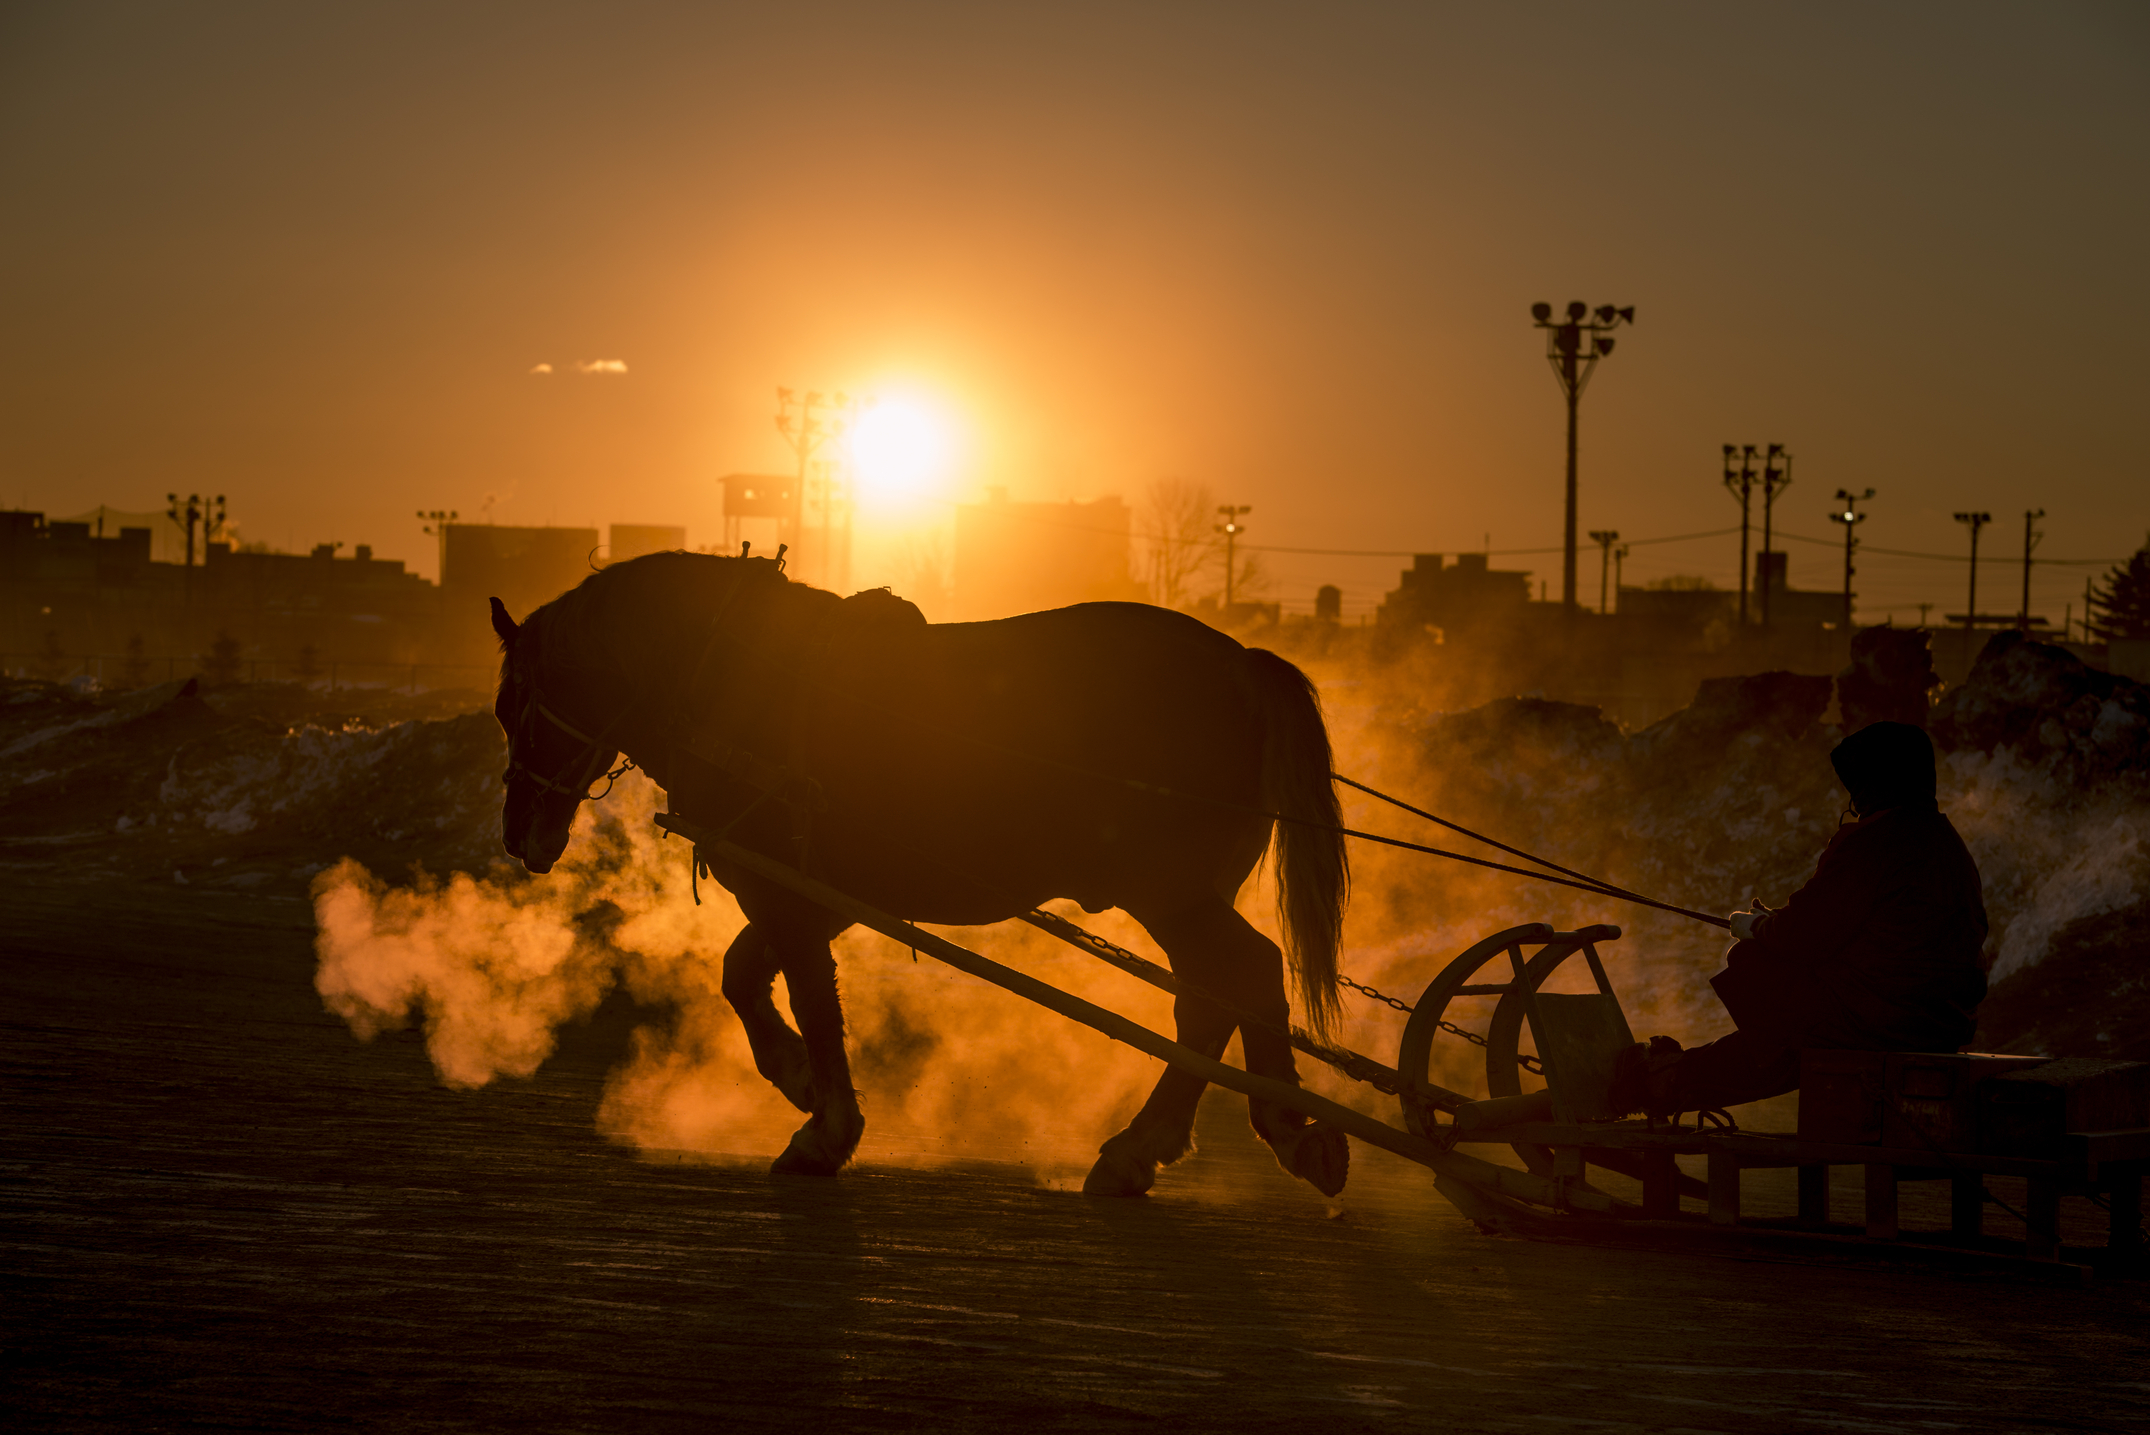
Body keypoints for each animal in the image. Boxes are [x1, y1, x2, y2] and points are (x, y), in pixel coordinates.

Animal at [494, 555, 1350, 1204]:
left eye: (515, 704)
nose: (519, 833)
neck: (733, 678)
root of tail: (1245, 667)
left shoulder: (790, 894)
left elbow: (810, 999)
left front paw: (825, 1128)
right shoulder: (821, 893)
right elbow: (745, 975)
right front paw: (797, 1077)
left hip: (1172, 893)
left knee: (1241, 977)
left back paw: (1240, 1134)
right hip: (1184, 897)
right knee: (1216, 997)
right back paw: (1170, 1145)